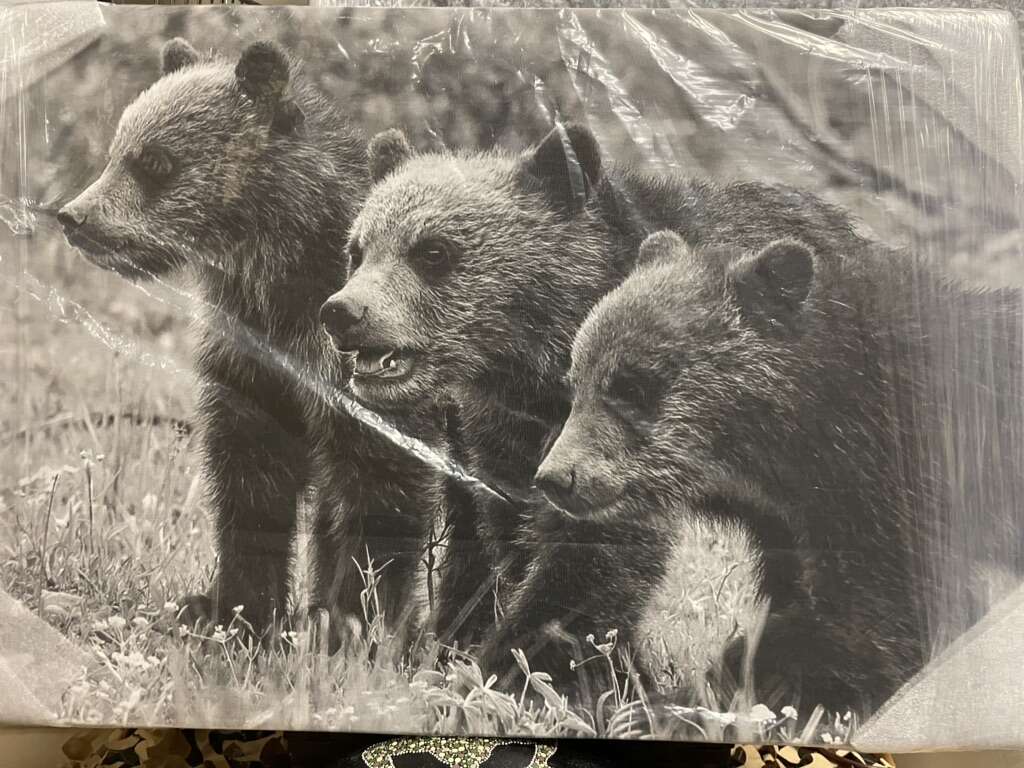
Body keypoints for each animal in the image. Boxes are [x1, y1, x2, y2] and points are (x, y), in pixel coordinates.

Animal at [57, 38, 450, 647]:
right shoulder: (250, 360)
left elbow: (381, 491)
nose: (74, 216)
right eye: (117, 150)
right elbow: (251, 484)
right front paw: (237, 611)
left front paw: (353, 625)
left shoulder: (366, 372)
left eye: (154, 161)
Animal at [318, 121, 884, 694]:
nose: (343, 311)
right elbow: (515, 539)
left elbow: (589, 560)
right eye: (358, 249)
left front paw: (514, 672)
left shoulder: (624, 437)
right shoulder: (509, 443)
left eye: (432, 251)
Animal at [533, 229, 1024, 717]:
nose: (556, 477)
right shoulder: (788, 526)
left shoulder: (900, 487)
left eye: (631, 385)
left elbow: (874, 625)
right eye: (576, 382)